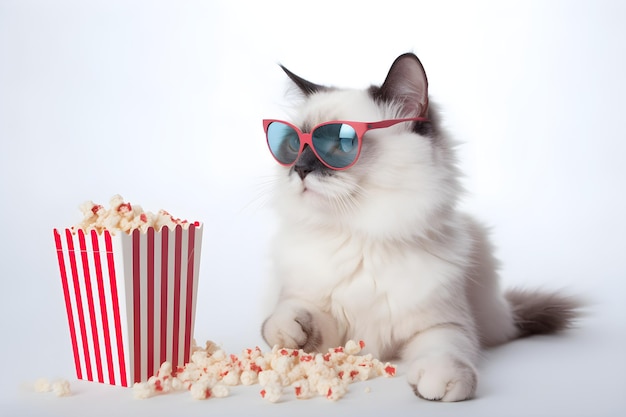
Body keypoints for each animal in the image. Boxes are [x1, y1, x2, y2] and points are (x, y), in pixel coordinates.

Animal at [260, 52, 580, 400]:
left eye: (340, 144)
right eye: (293, 145)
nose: (300, 169)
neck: (361, 236)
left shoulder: (443, 325)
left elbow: (445, 350)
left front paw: (439, 383)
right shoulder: (328, 320)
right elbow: (289, 315)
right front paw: (291, 330)